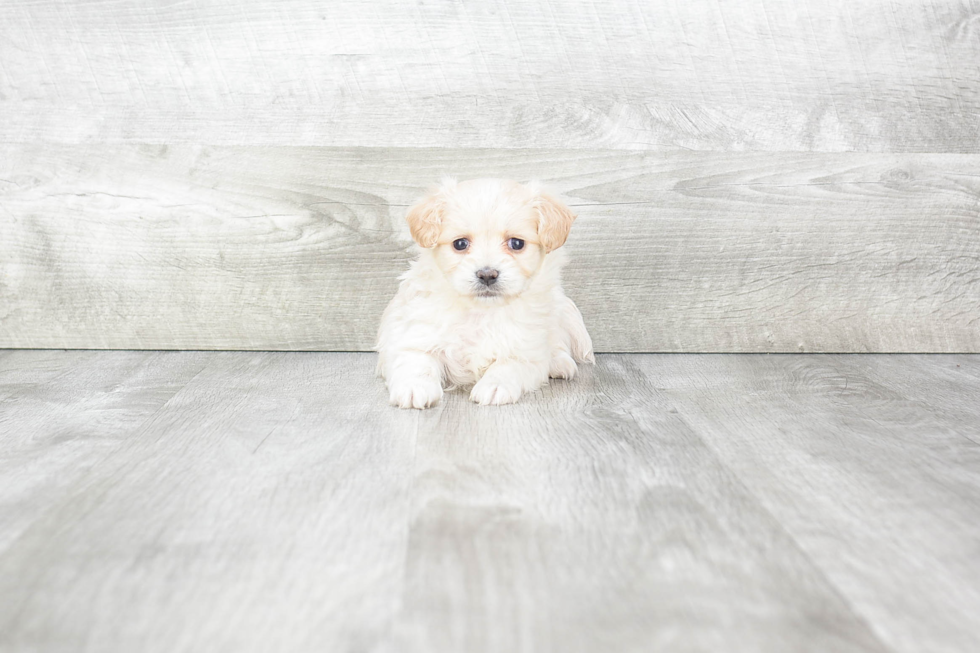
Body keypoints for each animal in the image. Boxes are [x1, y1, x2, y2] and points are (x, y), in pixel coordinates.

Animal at [374, 178, 588, 408]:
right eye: (460, 244)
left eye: (516, 243)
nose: (487, 275)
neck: (480, 311)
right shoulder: (415, 335)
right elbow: (417, 361)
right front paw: (414, 388)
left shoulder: (527, 349)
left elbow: (509, 365)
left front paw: (494, 386)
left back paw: (561, 363)